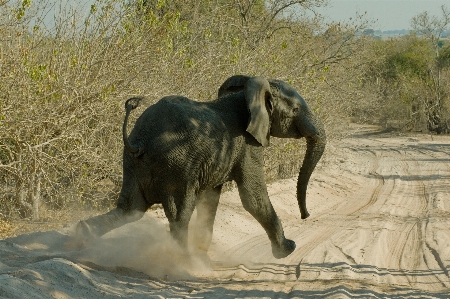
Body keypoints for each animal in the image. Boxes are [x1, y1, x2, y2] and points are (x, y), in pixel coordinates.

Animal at [72, 75, 326, 260]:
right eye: (295, 110)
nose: (306, 215)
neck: (248, 92)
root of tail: (141, 139)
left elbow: (211, 198)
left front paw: (204, 254)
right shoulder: (248, 143)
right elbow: (252, 197)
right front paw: (288, 250)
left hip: (134, 163)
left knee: (130, 208)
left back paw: (82, 236)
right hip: (176, 165)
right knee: (180, 213)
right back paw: (184, 261)